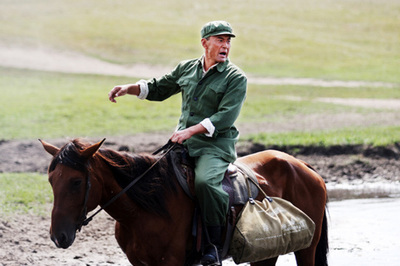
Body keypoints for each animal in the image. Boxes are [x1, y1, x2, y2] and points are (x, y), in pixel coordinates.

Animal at [39, 138, 328, 264]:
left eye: (76, 182)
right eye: (51, 180)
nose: (58, 236)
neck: (145, 209)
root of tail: (302, 165)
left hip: (307, 249)